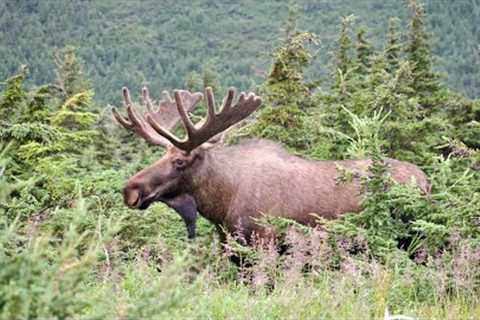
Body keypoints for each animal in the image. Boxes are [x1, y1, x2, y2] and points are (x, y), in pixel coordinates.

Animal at [111, 87, 428, 242]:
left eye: (178, 161)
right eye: (160, 156)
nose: (130, 190)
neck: (221, 203)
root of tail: (427, 182)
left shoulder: (266, 241)